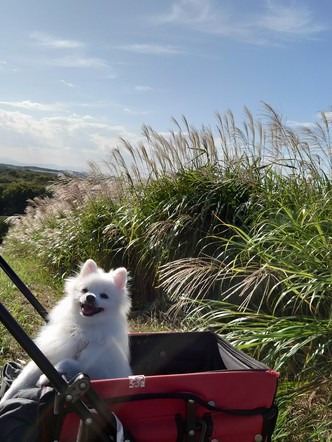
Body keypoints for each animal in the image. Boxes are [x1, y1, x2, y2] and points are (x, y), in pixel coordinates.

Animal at [0, 258, 132, 404]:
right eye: (84, 290)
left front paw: (44, 378)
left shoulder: (91, 367)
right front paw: (4, 400)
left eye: (104, 296)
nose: (90, 297)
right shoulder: (47, 355)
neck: (84, 326)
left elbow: (66, 362)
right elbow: (19, 383)